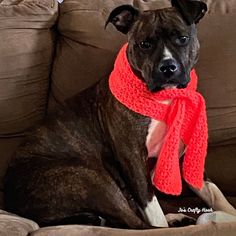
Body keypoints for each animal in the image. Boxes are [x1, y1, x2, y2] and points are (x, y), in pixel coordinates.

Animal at [4, 0, 236, 229]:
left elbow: (214, 192)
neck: (164, 99)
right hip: (91, 178)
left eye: (182, 38)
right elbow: (151, 206)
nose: (168, 67)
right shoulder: (133, 158)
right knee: (137, 223)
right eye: (144, 44)